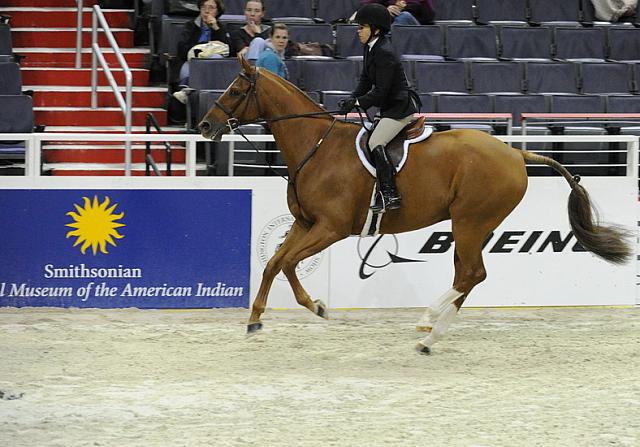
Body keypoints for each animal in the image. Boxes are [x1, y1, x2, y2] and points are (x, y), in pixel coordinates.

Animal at [199, 56, 632, 356]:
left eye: (236, 91)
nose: (204, 126)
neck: (315, 146)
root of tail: (514, 153)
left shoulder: (330, 228)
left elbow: (288, 264)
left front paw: (318, 307)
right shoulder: (304, 223)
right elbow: (274, 263)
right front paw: (255, 319)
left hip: (470, 222)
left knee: (472, 273)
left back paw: (428, 328)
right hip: (471, 225)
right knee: (467, 275)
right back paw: (430, 331)